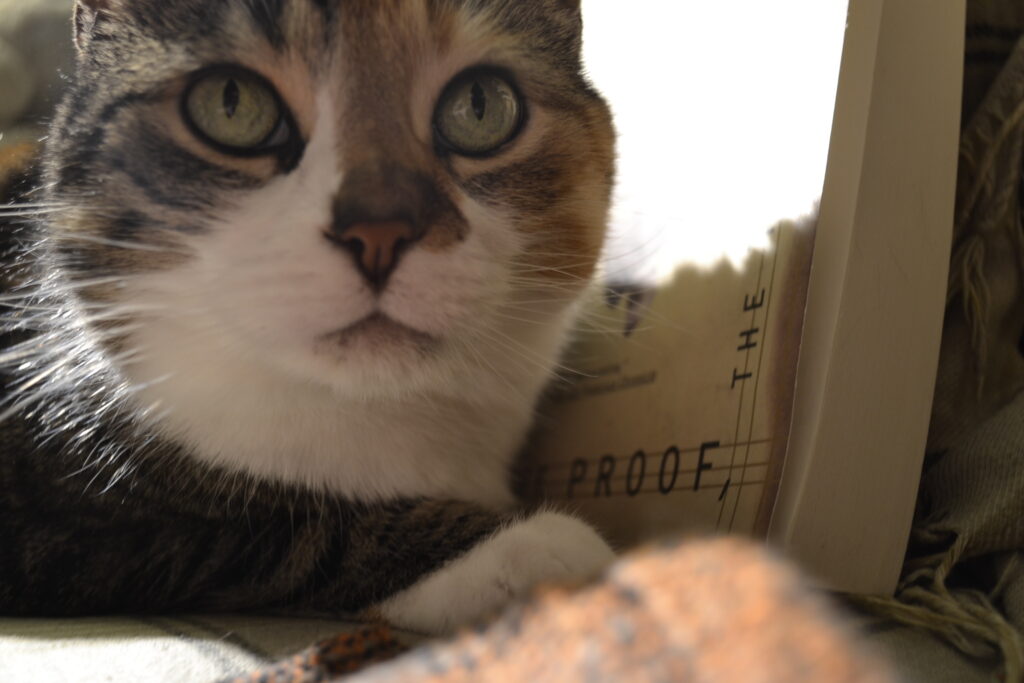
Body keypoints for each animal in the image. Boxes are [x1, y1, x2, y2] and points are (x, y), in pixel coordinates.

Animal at [0, 0, 614, 634]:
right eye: (230, 103)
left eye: (480, 105)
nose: (379, 231)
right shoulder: (59, 524)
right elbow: (253, 531)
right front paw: (517, 546)